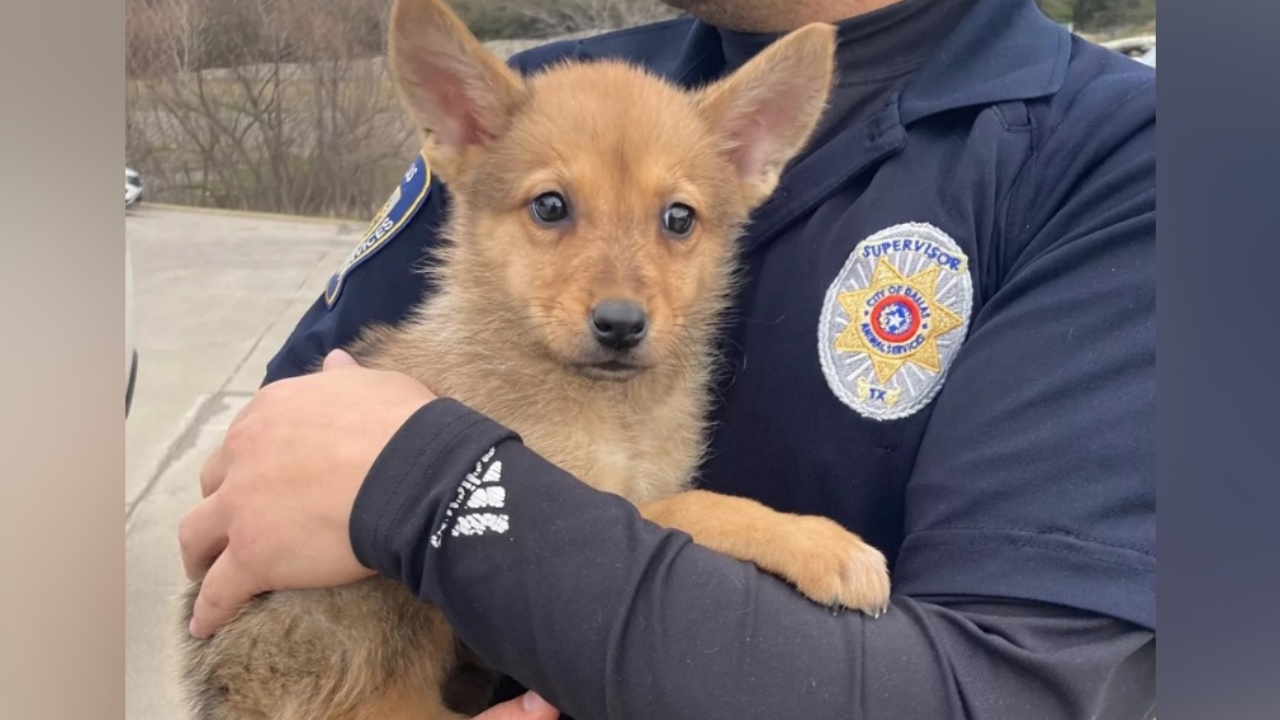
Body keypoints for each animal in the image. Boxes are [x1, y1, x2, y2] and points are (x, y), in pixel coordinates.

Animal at [175, 2, 885, 712]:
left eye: (679, 218)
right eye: (550, 206)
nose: (621, 325)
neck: (611, 411)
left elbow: (689, 499)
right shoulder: (607, 499)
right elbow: (698, 506)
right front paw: (818, 542)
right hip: (372, 614)